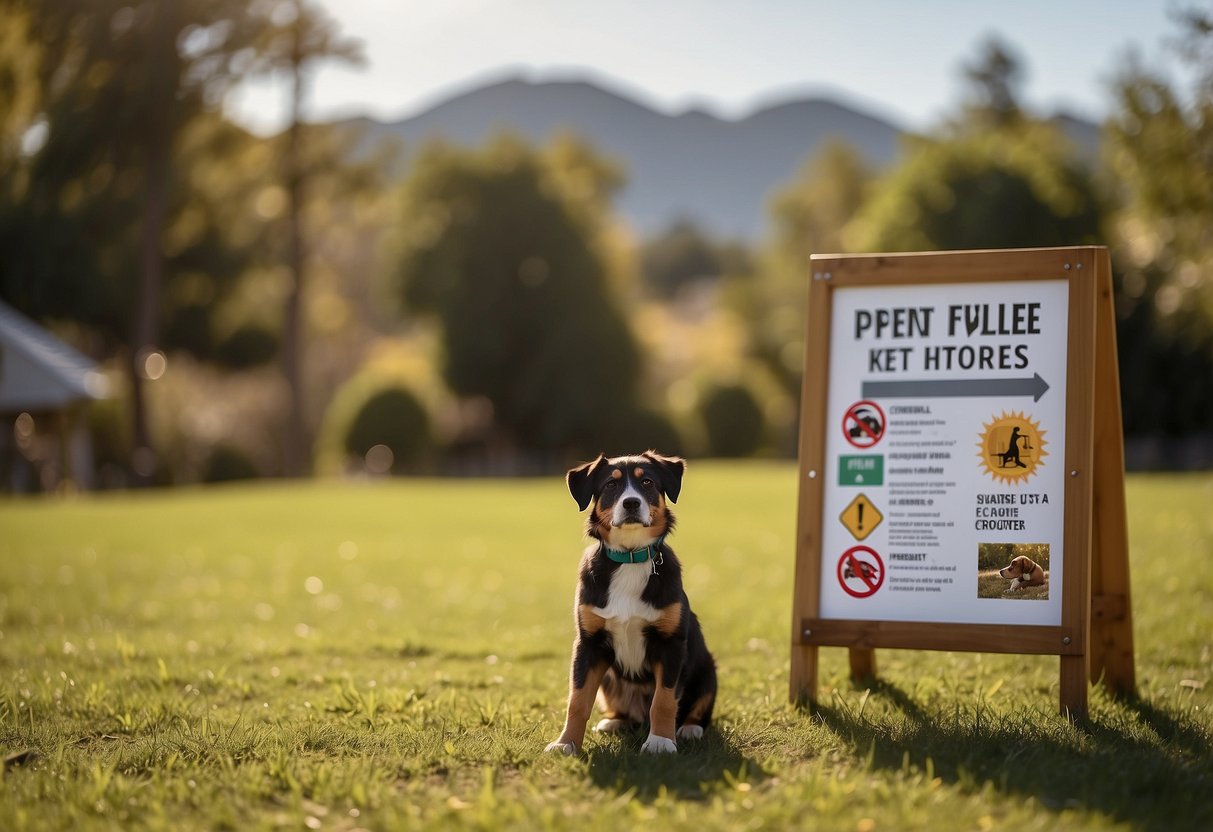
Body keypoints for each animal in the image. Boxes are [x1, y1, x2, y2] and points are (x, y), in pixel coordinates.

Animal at [545, 453, 713, 761]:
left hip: (707, 669)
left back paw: (689, 729)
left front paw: (660, 742)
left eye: (646, 482)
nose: (631, 503)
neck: (631, 558)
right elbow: (577, 700)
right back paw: (615, 721)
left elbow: (664, 700)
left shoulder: (671, 644)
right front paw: (566, 743)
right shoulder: (588, 644)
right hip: (609, 678)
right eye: (611, 484)